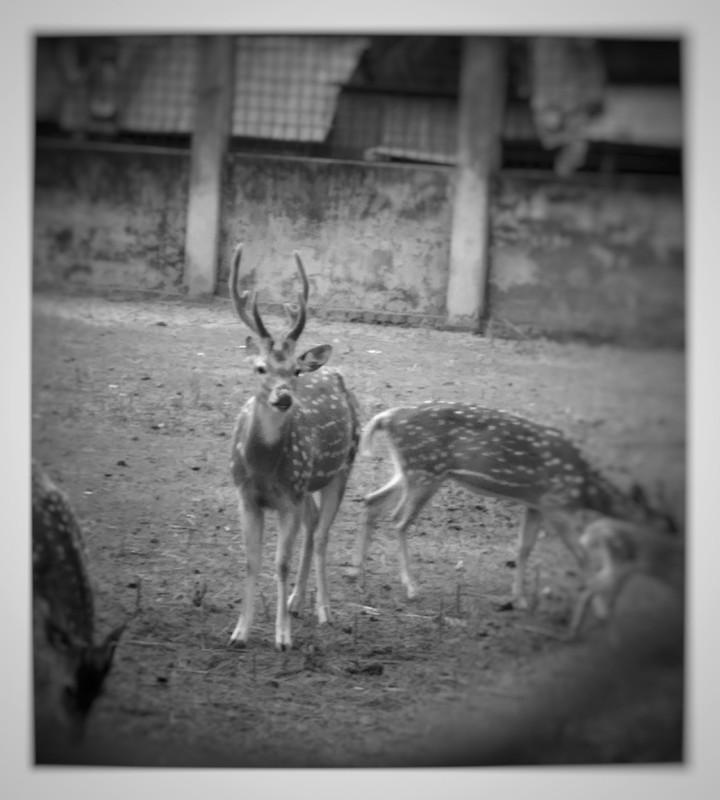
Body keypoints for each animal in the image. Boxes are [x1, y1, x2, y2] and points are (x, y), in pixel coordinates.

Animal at [227, 244, 361, 650]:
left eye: (295, 371)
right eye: (260, 368)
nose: (284, 397)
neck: (263, 467)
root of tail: (331, 370)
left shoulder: (288, 497)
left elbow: (279, 562)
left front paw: (282, 638)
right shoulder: (246, 496)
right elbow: (251, 560)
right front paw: (239, 632)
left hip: (342, 468)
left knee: (320, 535)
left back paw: (323, 610)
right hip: (308, 486)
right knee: (313, 524)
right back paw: (296, 601)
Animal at [349, 401, 675, 609]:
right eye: (668, 526)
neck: (585, 489)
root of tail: (386, 417)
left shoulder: (536, 504)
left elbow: (524, 547)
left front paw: (519, 599)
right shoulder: (557, 504)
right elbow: (582, 555)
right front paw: (597, 607)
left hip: (407, 470)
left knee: (371, 501)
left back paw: (358, 576)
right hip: (426, 470)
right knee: (399, 520)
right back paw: (411, 587)